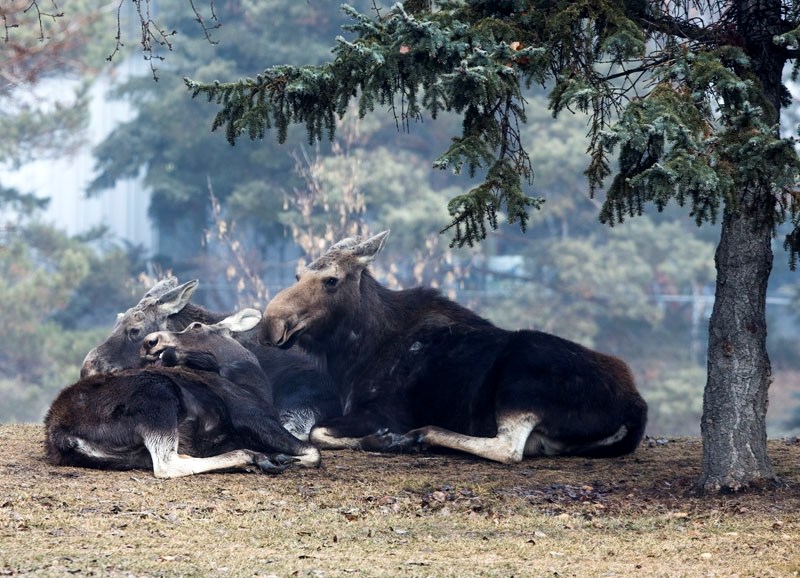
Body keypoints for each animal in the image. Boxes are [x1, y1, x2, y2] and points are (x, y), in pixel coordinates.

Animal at [45, 308, 320, 474]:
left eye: (196, 326)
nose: (150, 341)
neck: (253, 384)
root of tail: (61, 435)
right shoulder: (251, 416)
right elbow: (313, 452)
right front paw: (281, 457)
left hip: (129, 455)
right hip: (158, 397)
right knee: (167, 464)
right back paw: (253, 457)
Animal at [262, 232, 648, 462]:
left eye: (331, 280)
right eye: (298, 275)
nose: (271, 323)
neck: (352, 357)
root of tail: (636, 406)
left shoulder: (386, 410)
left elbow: (317, 431)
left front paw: (388, 440)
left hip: (522, 376)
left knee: (508, 448)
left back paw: (424, 434)